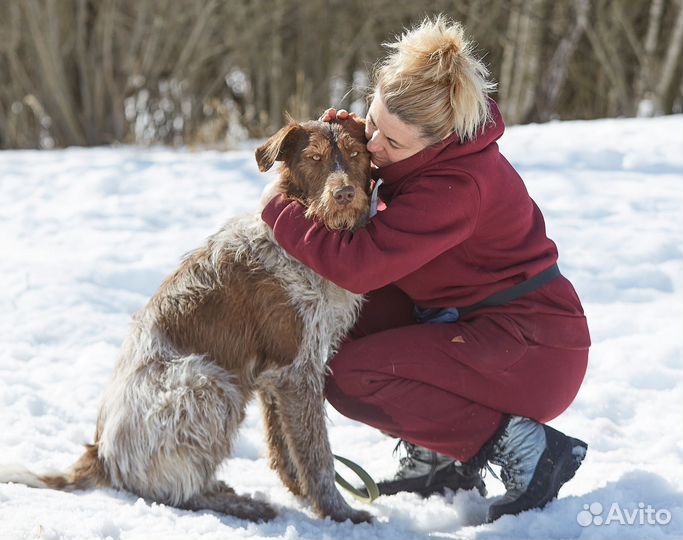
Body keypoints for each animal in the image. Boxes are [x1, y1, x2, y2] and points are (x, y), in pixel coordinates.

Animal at [0, 117, 374, 524]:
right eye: (314, 158)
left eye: (356, 153)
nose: (344, 194)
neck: (308, 233)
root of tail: (102, 457)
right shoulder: (296, 370)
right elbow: (317, 455)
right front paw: (339, 512)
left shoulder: (276, 377)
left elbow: (284, 448)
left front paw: (301, 494)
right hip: (208, 384)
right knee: (178, 492)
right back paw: (233, 503)